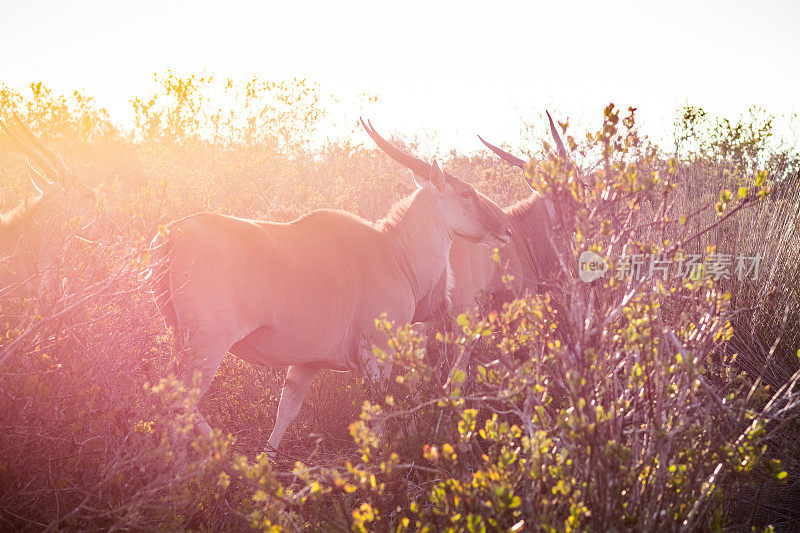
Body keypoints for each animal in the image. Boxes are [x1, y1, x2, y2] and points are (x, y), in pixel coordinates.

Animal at [148, 118, 512, 456]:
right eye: (466, 193)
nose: (505, 229)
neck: (395, 252)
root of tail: (171, 233)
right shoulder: (376, 354)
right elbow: (378, 415)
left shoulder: (306, 363)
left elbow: (286, 410)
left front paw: (267, 459)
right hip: (207, 347)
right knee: (181, 404)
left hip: (178, 339)